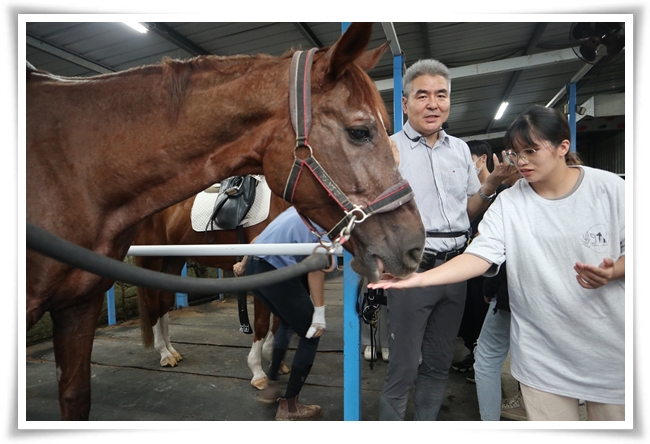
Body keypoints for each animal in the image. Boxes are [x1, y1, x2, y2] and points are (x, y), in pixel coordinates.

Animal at [132, 187, 288, 388]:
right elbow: (262, 323)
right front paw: (258, 373)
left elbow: (279, 318)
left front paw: (275, 360)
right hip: (151, 259)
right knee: (152, 304)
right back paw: (164, 354)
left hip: (173, 259)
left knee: (163, 302)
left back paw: (171, 351)